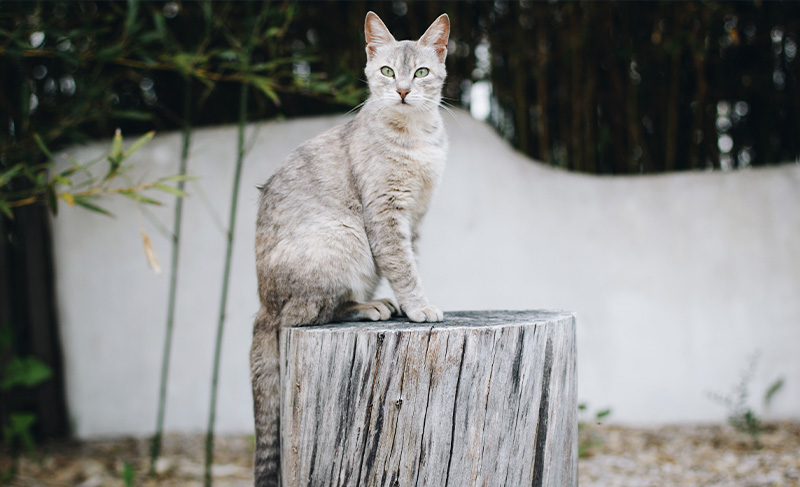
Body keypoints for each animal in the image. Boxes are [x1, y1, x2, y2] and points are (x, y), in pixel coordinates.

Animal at [250, 11, 450, 487]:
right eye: (387, 71)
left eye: (420, 72)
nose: (402, 90)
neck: (416, 138)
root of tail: (263, 304)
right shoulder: (384, 215)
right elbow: (403, 268)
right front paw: (419, 306)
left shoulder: (413, 218)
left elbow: (408, 263)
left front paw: (410, 303)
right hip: (342, 237)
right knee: (305, 317)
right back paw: (367, 306)